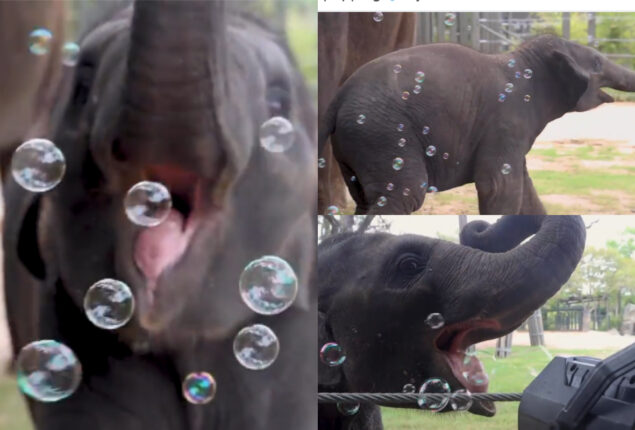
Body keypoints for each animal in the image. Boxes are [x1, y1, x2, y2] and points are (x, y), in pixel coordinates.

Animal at [320, 35, 635, 215]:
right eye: (597, 62)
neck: (524, 60)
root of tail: (337, 99)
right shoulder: (507, 119)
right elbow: (498, 186)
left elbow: (523, 189)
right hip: (381, 134)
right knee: (403, 196)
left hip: (361, 140)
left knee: (364, 200)